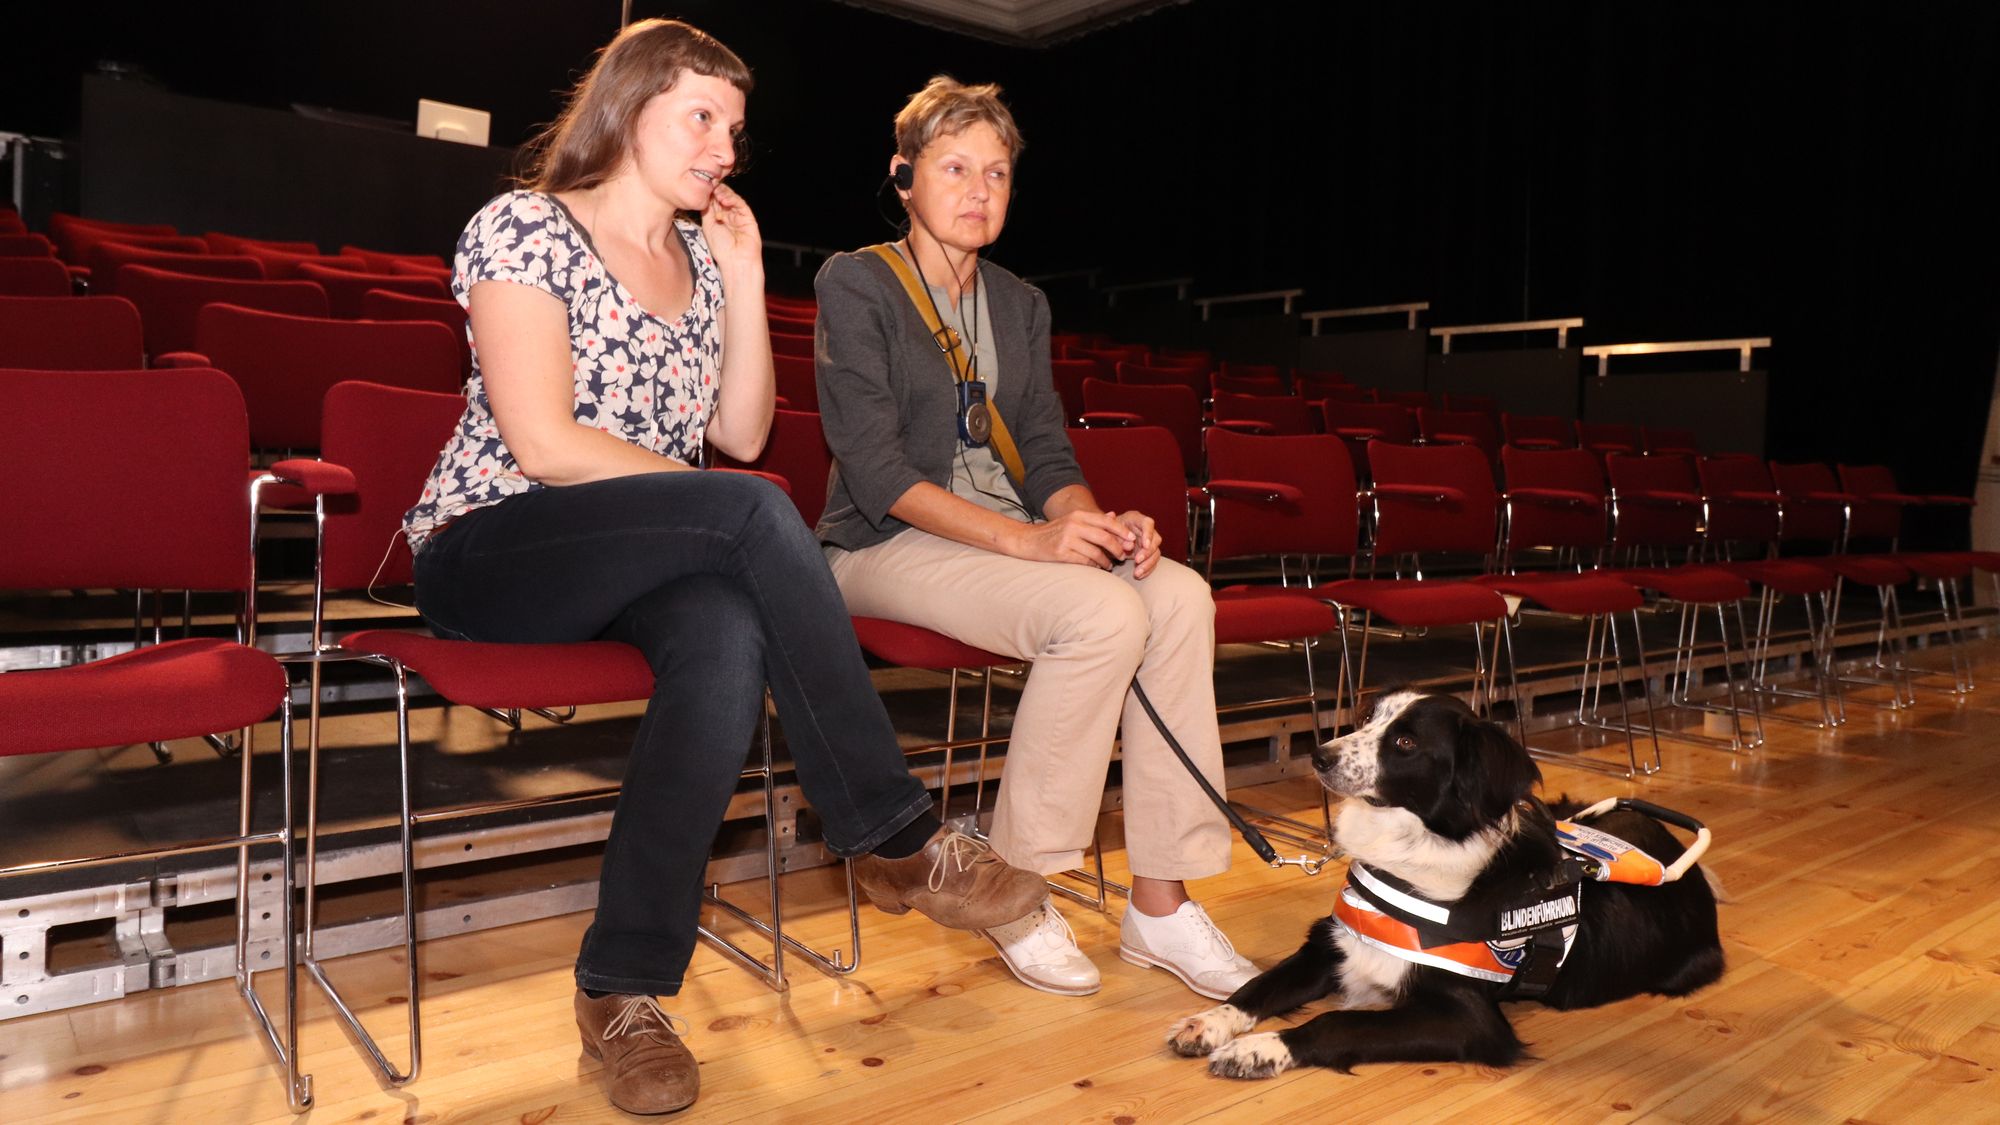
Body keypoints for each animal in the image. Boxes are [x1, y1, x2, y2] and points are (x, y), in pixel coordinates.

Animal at [1168, 688, 1720, 1072]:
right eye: (1368, 718)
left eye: (1405, 742)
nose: (1319, 755)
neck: (1412, 849)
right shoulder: (1332, 944)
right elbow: (1260, 985)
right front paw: (1209, 1023)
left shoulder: (1471, 1020)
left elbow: (1335, 1021)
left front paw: (1258, 1050)